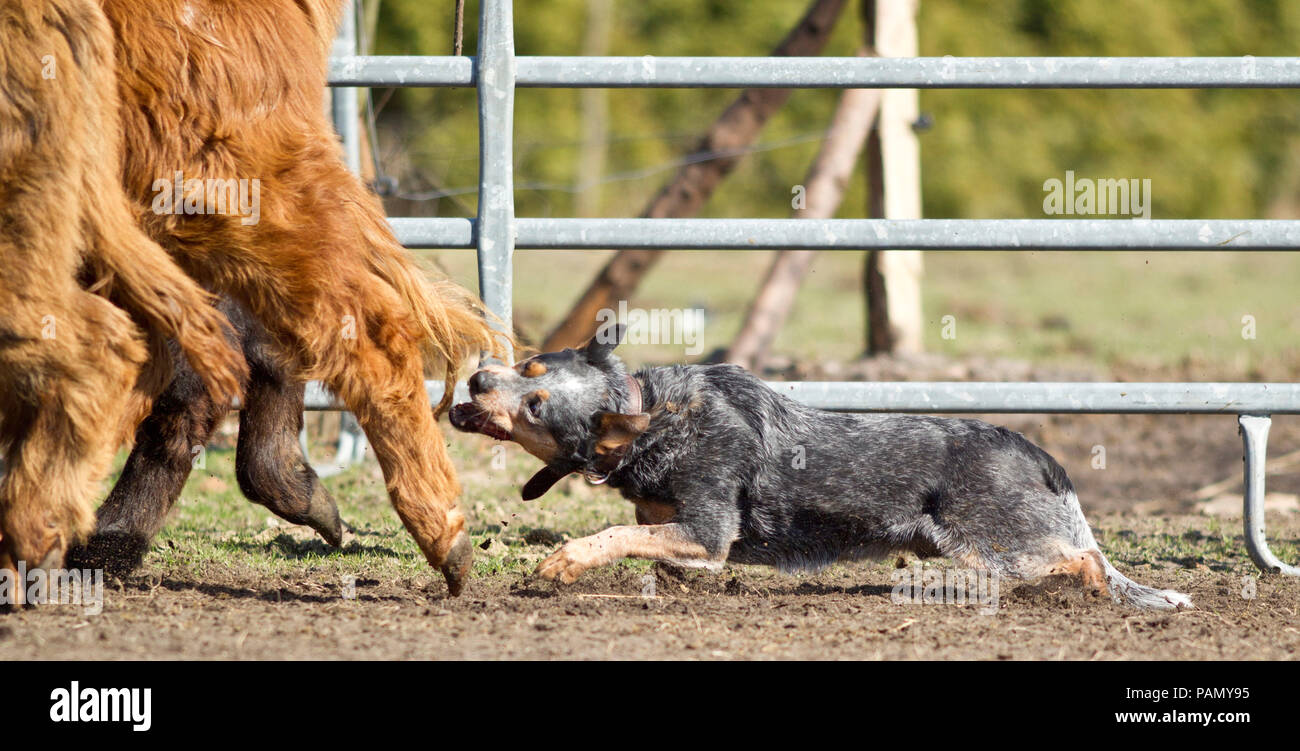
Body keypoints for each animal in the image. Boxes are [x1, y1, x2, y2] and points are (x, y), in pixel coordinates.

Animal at [452, 322, 1190, 608]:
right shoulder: (682, 533)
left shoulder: (707, 531)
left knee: (1084, 560)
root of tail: (1038, 453)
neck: (654, 418)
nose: (481, 377)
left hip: (997, 545)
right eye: (530, 365)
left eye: (537, 404)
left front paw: (560, 562)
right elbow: (649, 547)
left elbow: (607, 535)